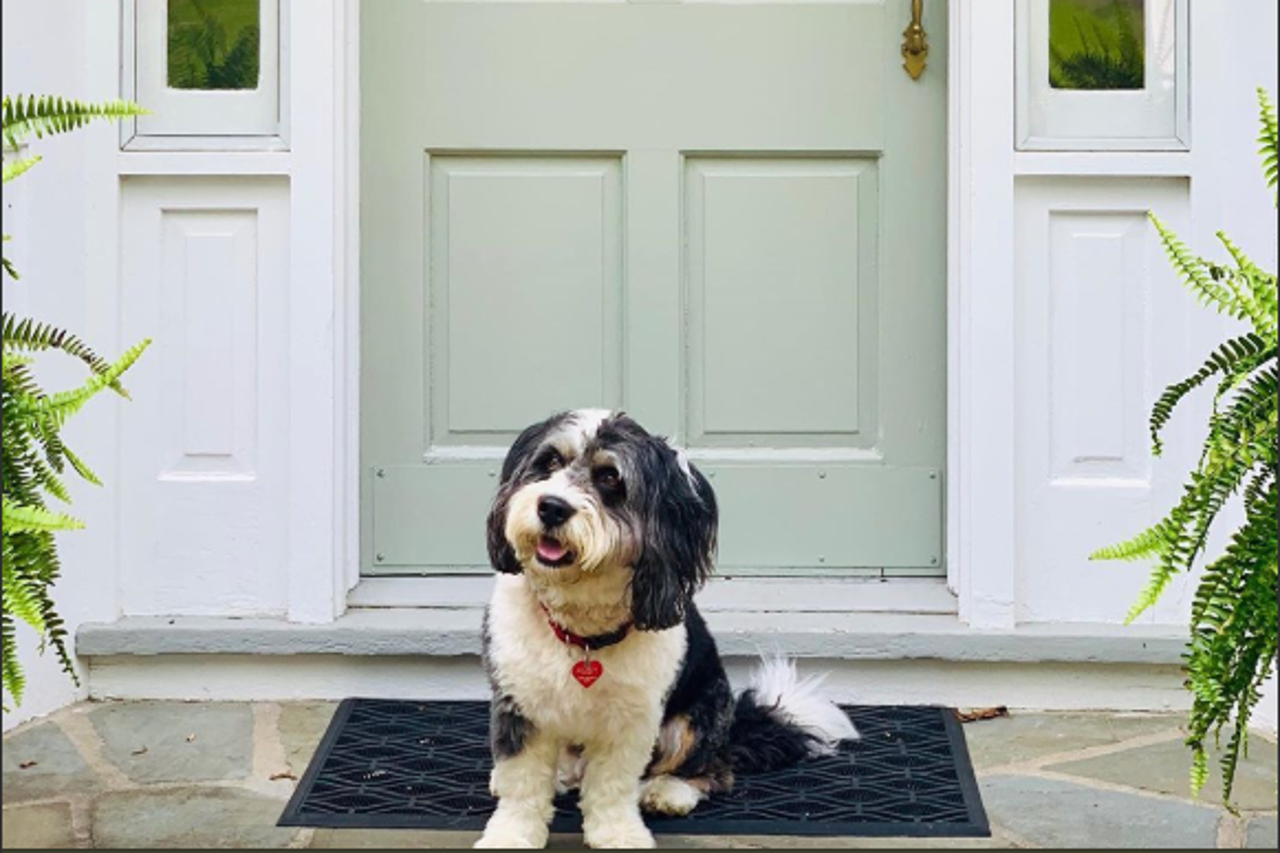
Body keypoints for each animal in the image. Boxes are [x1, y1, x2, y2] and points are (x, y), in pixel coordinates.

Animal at [477, 409, 857, 849]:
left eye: (611, 478)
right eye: (551, 461)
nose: (552, 507)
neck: (581, 631)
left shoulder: (633, 719)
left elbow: (611, 785)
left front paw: (619, 834)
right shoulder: (518, 703)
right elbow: (522, 783)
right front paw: (511, 835)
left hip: (698, 714)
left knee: (714, 768)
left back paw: (669, 791)